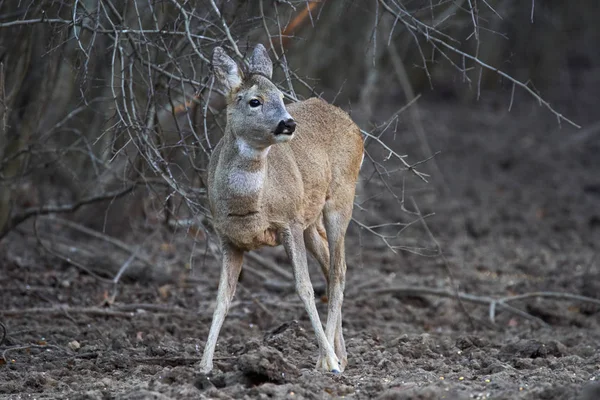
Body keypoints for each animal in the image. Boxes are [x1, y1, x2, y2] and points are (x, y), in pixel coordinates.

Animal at [199, 44, 364, 376]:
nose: (288, 123)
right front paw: (205, 365)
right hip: (310, 219)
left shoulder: (289, 222)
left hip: (341, 197)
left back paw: (329, 360)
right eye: (255, 101)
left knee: (338, 270)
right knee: (329, 265)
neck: (249, 207)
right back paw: (342, 355)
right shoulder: (227, 238)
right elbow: (222, 297)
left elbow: (304, 287)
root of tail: (353, 125)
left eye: (281, 97)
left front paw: (329, 361)